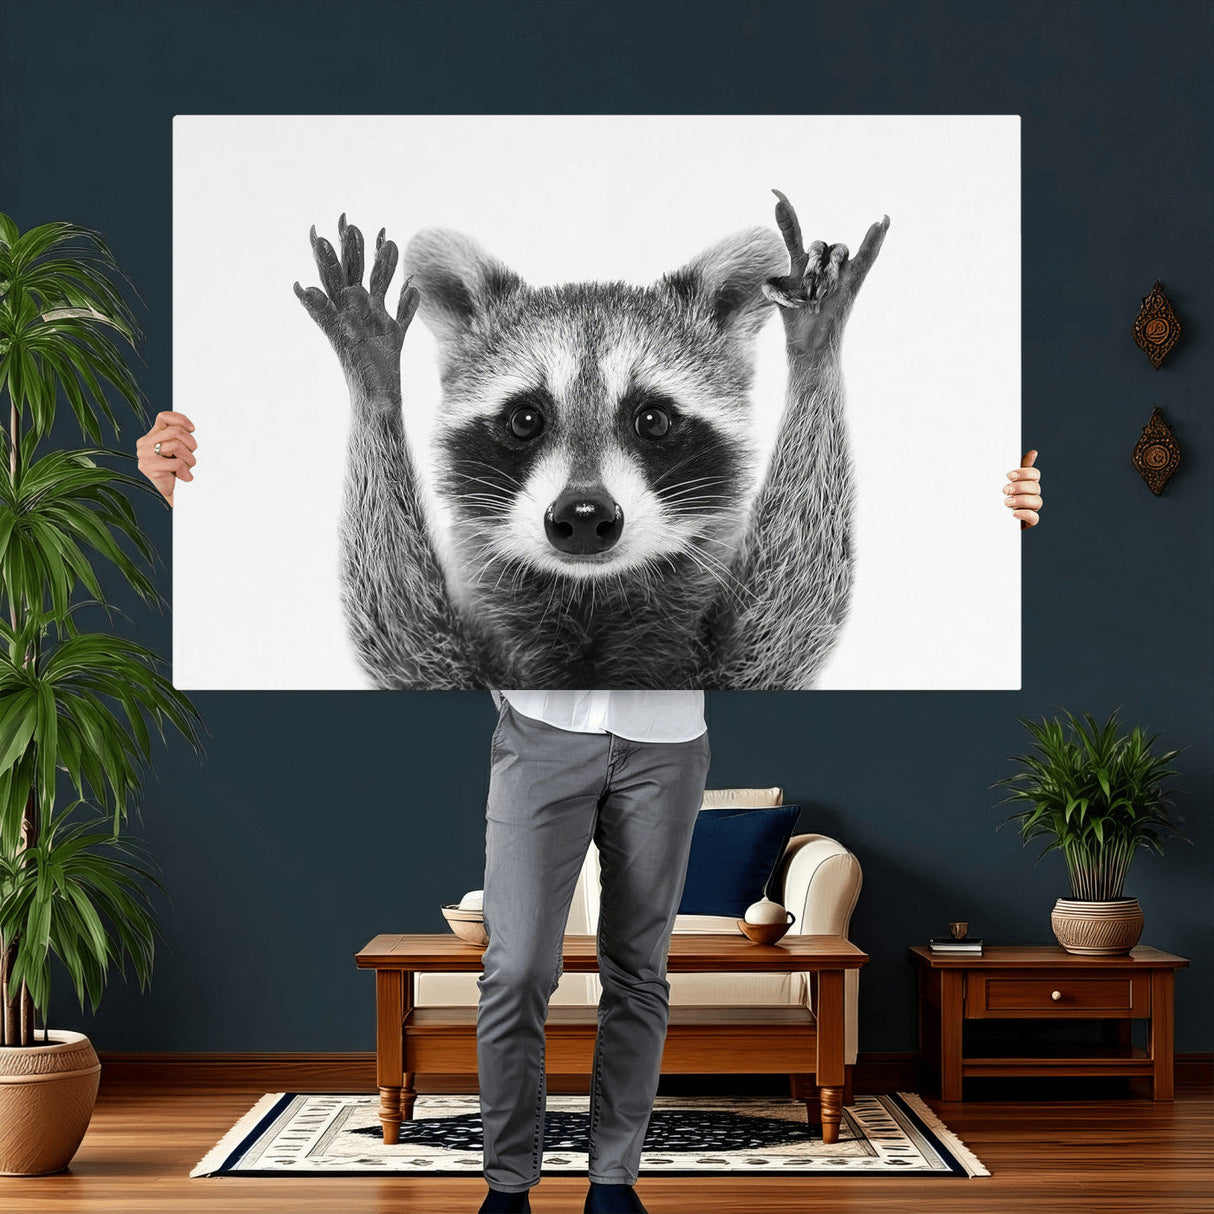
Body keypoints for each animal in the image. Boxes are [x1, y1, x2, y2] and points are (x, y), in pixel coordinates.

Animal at [293, 191, 889, 690]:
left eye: (653, 421)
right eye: (524, 420)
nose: (583, 515)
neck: (589, 598)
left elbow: (793, 606)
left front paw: (814, 348)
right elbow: (399, 631)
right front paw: (374, 379)